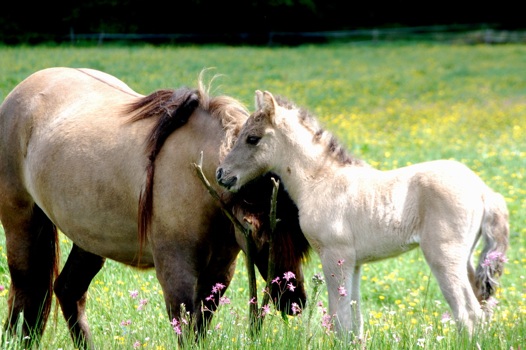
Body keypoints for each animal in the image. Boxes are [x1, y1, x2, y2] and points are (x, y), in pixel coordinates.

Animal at [0, 69, 312, 348]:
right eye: (263, 238)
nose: (295, 300)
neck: (199, 177)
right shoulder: (176, 272)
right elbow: (185, 329)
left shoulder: (220, 270)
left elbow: (201, 327)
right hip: (22, 225)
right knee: (25, 288)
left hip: (89, 239)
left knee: (67, 290)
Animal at [218, 89, 512, 340]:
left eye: (252, 138)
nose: (222, 174)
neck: (320, 181)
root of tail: (484, 190)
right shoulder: (354, 262)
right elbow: (354, 321)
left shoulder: (335, 256)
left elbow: (339, 320)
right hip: (465, 258)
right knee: (482, 308)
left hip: (443, 256)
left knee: (468, 313)